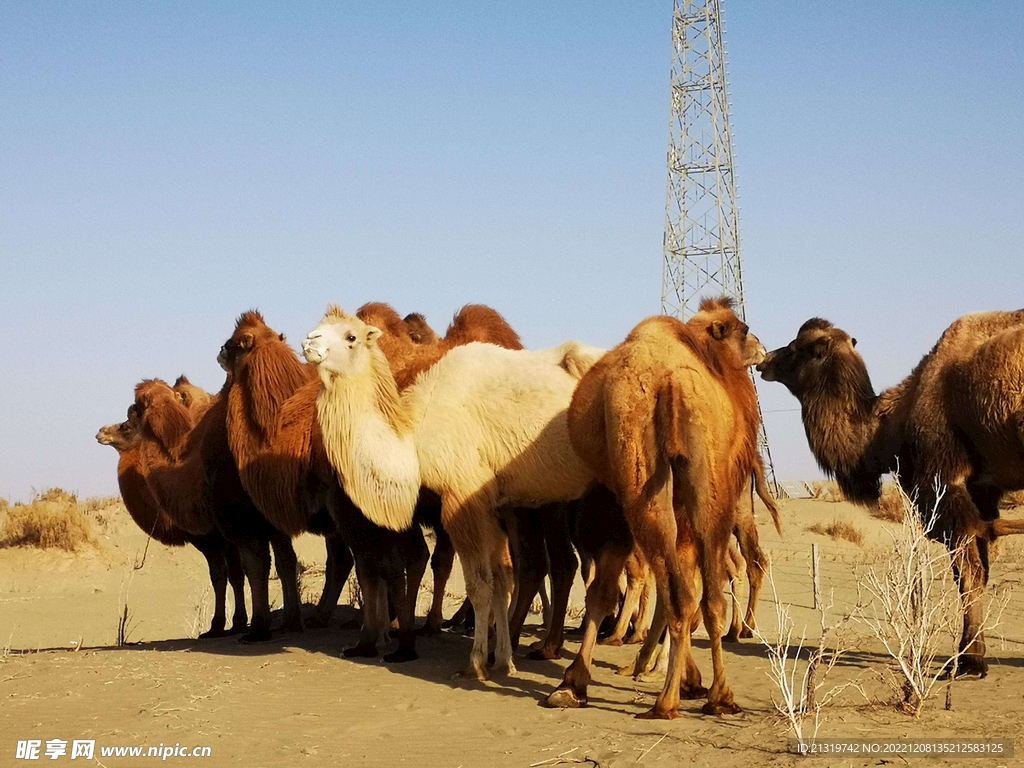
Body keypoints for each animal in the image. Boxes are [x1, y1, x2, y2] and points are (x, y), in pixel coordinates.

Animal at [299, 307, 602, 679]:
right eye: (319, 327)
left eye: (351, 336)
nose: (309, 342)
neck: (415, 435)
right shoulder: (491, 504)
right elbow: (501, 579)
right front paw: (503, 659)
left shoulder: (463, 497)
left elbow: (480, 583)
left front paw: (475, 664)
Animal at [552, 296, 770, 720]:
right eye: (744, 329)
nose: (765, 349)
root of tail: (672, 383)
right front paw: (686, 677)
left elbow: (605, 590)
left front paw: (577, 678)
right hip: (699, 484)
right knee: (702, 593)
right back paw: (710, 695)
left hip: (644, 481)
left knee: (683, 590)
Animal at [757, 309, 1024, 675]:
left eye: (798, 348)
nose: (764, 359)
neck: (891, 423)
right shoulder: (982, 491)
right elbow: (978, 570)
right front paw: (970, 656)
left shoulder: (944, 484)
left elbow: (968, 574)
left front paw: (969, 662)